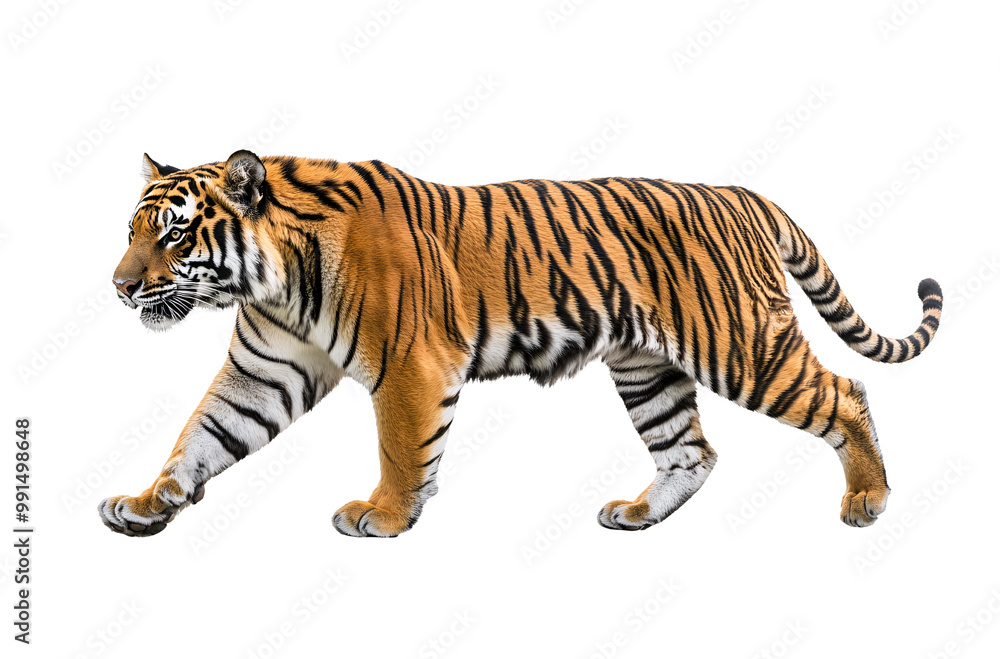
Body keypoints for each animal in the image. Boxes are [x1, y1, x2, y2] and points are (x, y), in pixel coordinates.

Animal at [99, 149, 942, 538]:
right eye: (133, 230)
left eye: (173, 235)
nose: (119, 286)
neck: (270, 280)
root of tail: (743, 194)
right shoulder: (264, 368)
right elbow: (201, 435)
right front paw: (146, 503)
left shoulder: (410, 367)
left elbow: (401, 449)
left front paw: (385, 515)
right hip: (648, 368)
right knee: (691, 450)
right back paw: (639, 514)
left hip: (741, 344)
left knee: (845, 393)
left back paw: (867, 499)